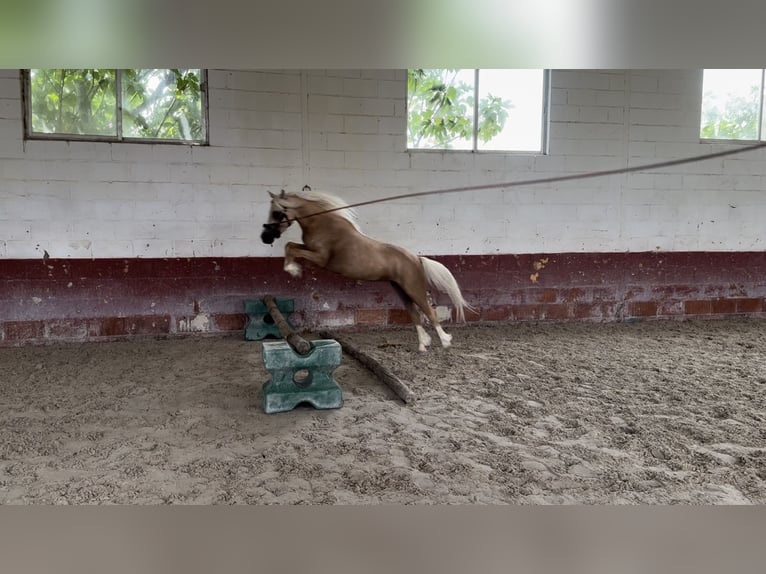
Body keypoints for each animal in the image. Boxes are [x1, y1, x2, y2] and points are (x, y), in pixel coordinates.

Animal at [260, 187, 472, 352]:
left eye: (277, 212)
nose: (265, 237)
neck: (323, 224)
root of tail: (416, 258)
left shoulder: (321, 258)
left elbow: (291, 248)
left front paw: (293, 269)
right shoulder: (310, 249)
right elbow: (290, 245)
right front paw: (292, 268)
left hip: (414, 289)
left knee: (429, 312)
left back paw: (445, 341)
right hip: (402, 291)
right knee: (415, 314)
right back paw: (423, 345)